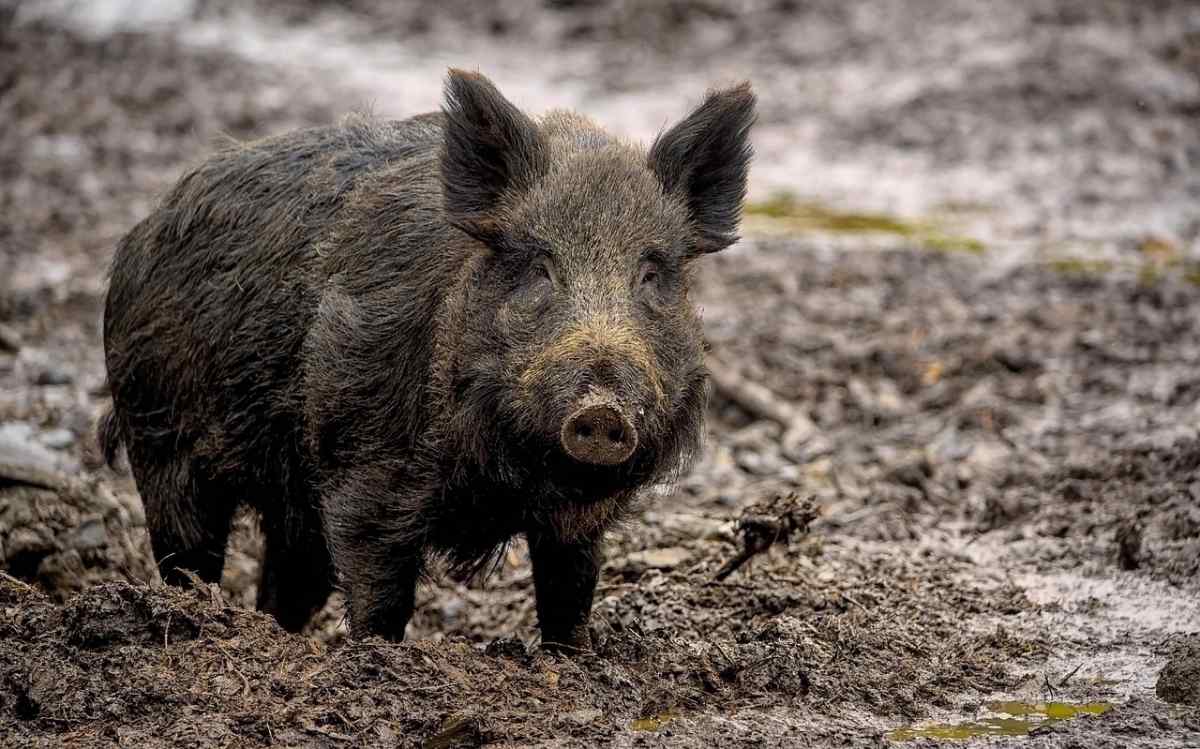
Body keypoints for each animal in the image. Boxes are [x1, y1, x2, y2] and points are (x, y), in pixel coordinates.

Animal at [100, 70, 754, 650]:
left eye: (651, 272)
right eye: (539, 267)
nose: (601, 410)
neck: (503, 477)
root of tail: (143, 229)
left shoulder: (579, 520)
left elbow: (569, 592)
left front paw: (574, 658)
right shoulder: (366, 464)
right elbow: (380, 587)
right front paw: (377, 658)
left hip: (288, 494)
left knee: (289, 577)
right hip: (160, 433)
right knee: (187, 551)